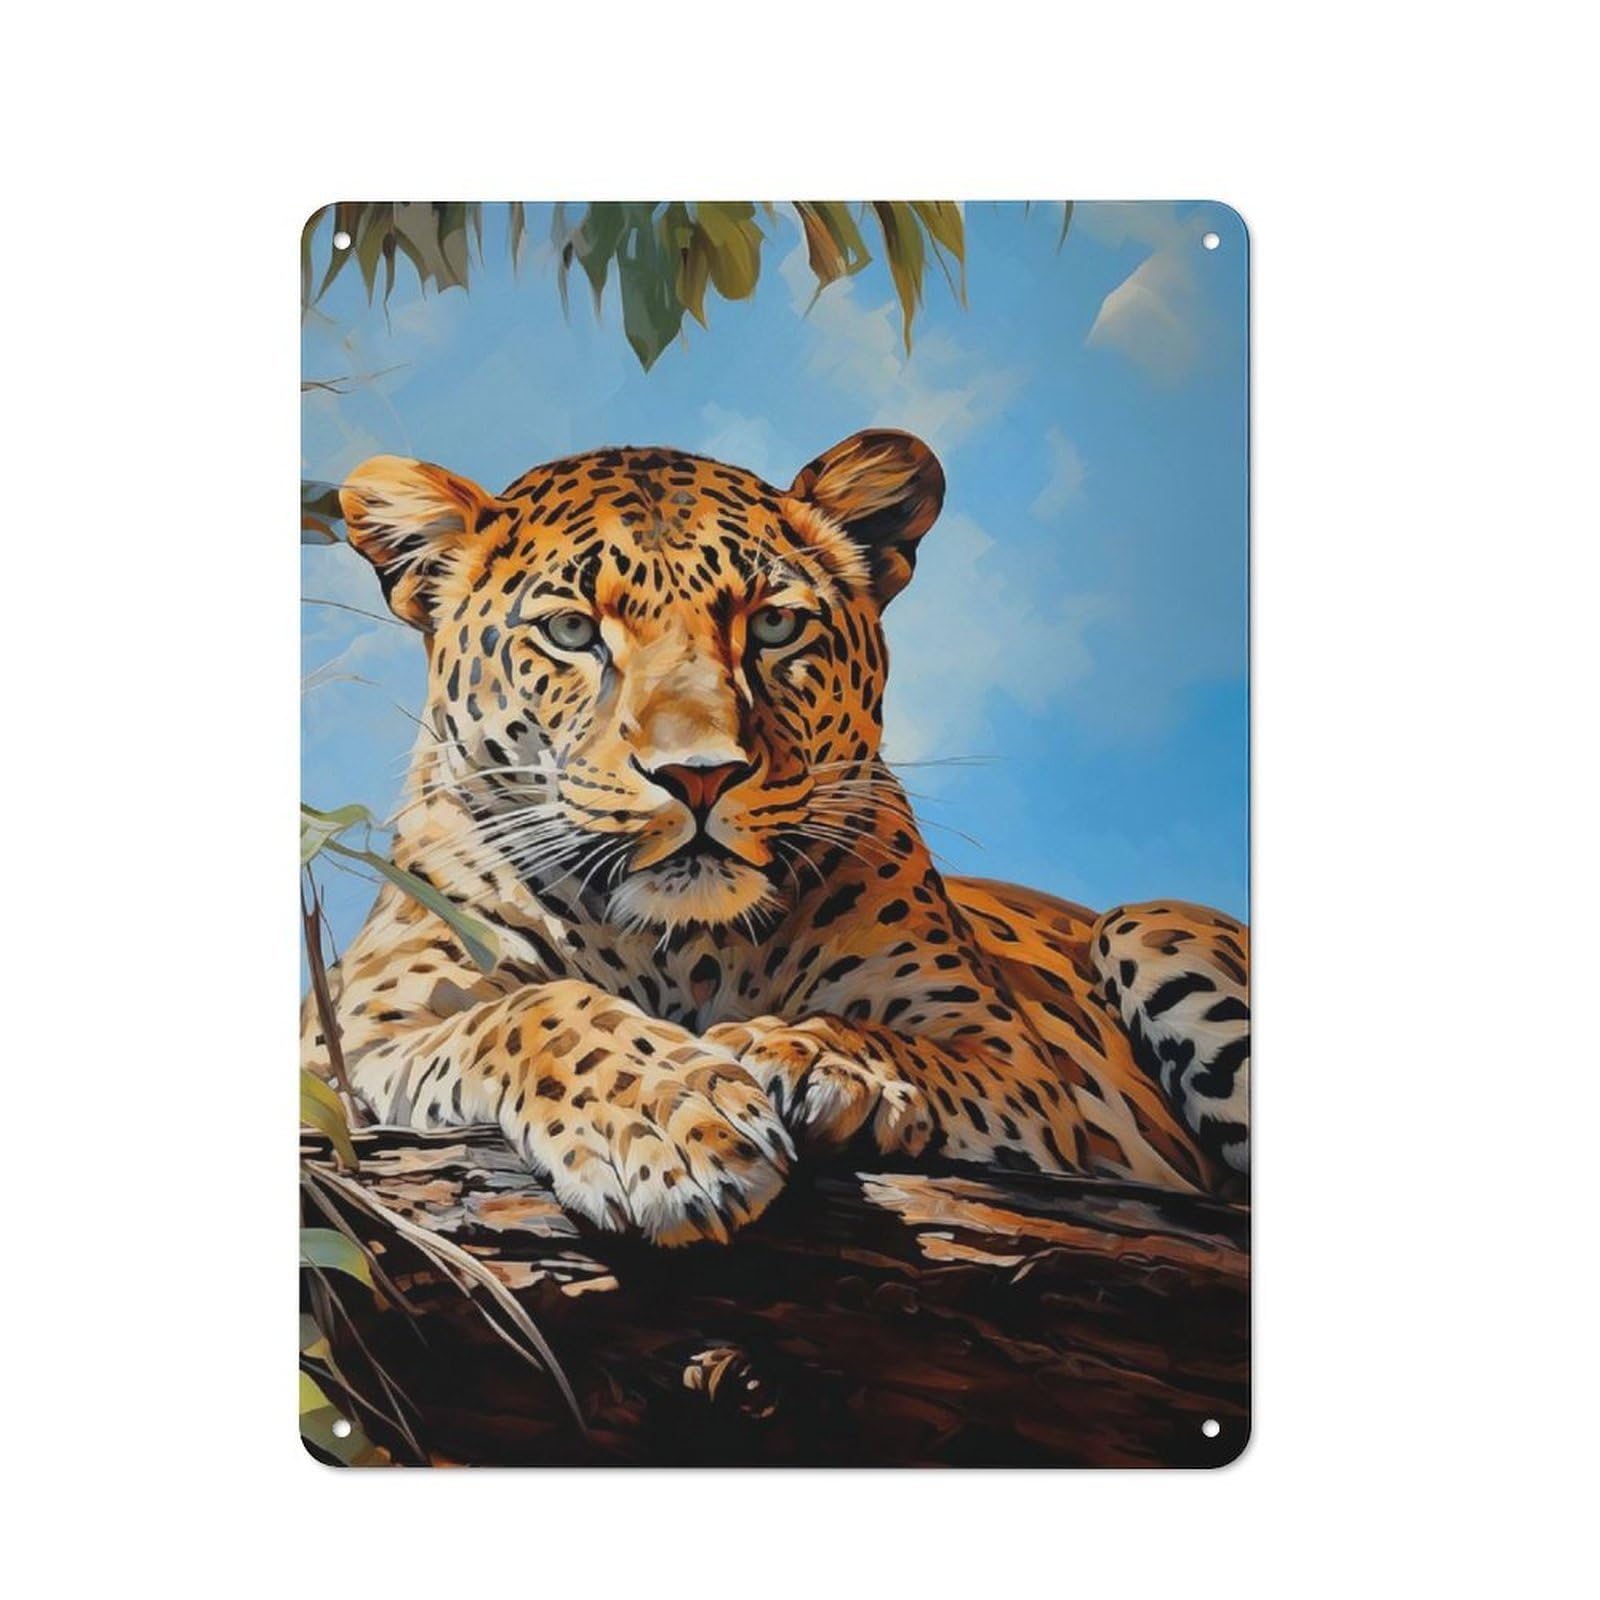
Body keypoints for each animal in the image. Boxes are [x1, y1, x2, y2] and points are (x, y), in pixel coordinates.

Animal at [302, 430, 1250, 1245]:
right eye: (571, 632)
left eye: (773, 625)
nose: (700, 775)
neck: (681, 950)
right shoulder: (351, 1030)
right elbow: (533, 1011)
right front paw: (669, 1119)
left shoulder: (1014, 1060)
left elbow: (893, 1041)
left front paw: (799, 1050)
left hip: (1147, 924)